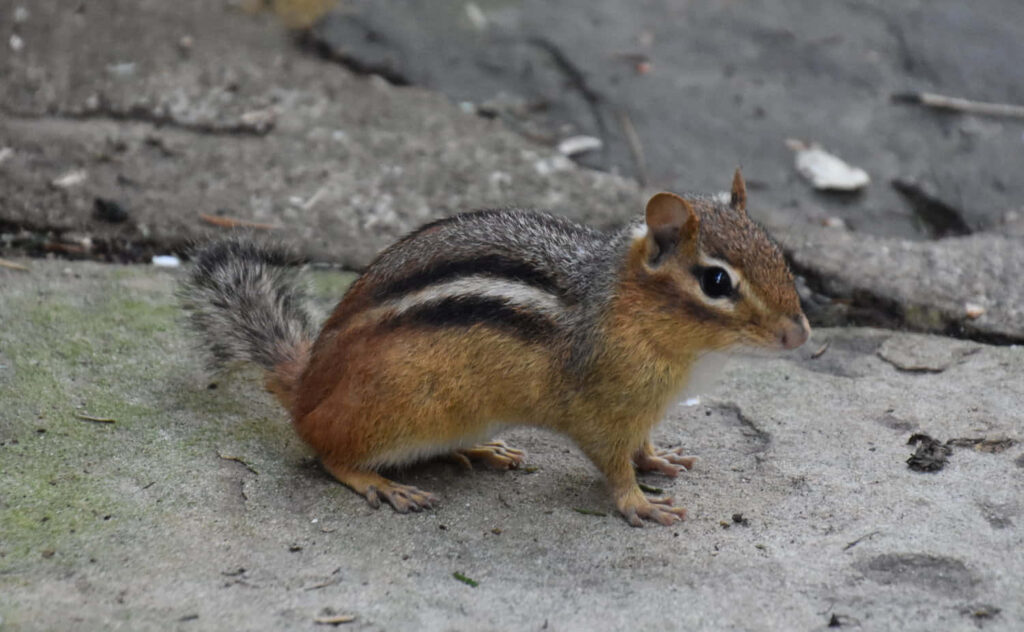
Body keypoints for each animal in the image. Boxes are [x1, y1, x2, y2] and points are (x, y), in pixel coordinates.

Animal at [180, 169, 809, 527]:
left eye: (779, 254)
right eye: (717, 282)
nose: (801, 335)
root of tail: (305, 384)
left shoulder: (643, 411)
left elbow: (645, 444)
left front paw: (660, 460)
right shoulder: (600, 411)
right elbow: (612, 463)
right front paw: (639, 502)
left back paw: (482, 450)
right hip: (391, 413)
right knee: (325, 451)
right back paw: (381, 483)